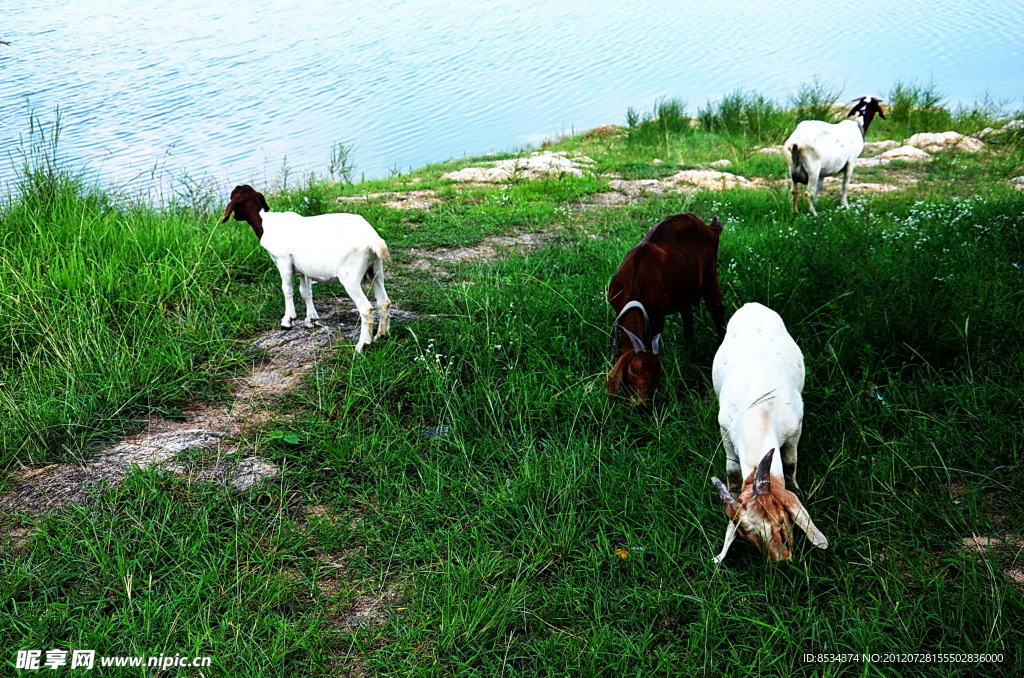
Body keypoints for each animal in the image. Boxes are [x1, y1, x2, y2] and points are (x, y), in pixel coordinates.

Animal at [220, 186, 391, 356]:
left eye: (233, 196)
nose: (234, 217)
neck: (266, 222)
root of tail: (373, 241)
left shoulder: (283, 261)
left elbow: (287, 289)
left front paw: (287, 321)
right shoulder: (303, 270)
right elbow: (305, 292)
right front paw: (311, 320)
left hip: (350, 276)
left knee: (366, 308)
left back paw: (363, 345)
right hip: (375, 269)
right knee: (384, 302)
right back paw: (381, 335)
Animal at [606, 214, 729, 409]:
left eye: (659, 375)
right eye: (632, 371)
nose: (642, 406)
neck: (634, 284)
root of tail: (710, 228)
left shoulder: (658, 315)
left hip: (710, 276)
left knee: (717, 309)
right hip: (686, 290)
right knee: (687, 316)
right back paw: (690, 348)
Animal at [712, 303, 831, 561]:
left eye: (781, 521)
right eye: (748, 539)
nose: (782, 561)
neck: (760, 410)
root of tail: (751, 305)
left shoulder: (796, 428)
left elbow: (790, 462)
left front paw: (795, 486)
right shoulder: (725, 431)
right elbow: (732, 469)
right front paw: (733, 488)